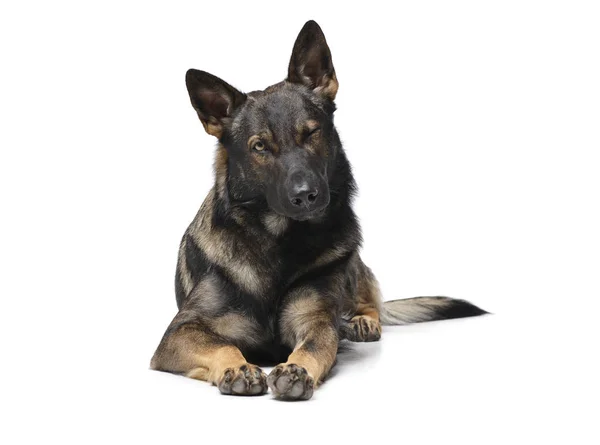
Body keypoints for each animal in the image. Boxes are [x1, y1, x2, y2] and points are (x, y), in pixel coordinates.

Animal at [151, 20, 488, 398]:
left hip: (351, 265)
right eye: (260, 147)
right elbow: (223, 344)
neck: (279, 242)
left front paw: (297, 369)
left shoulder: (315, 323)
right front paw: (237, 367)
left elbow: (314, 346)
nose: (306, 195)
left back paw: (362, 321)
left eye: (311, 133)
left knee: (368, 297)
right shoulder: (181, 331)